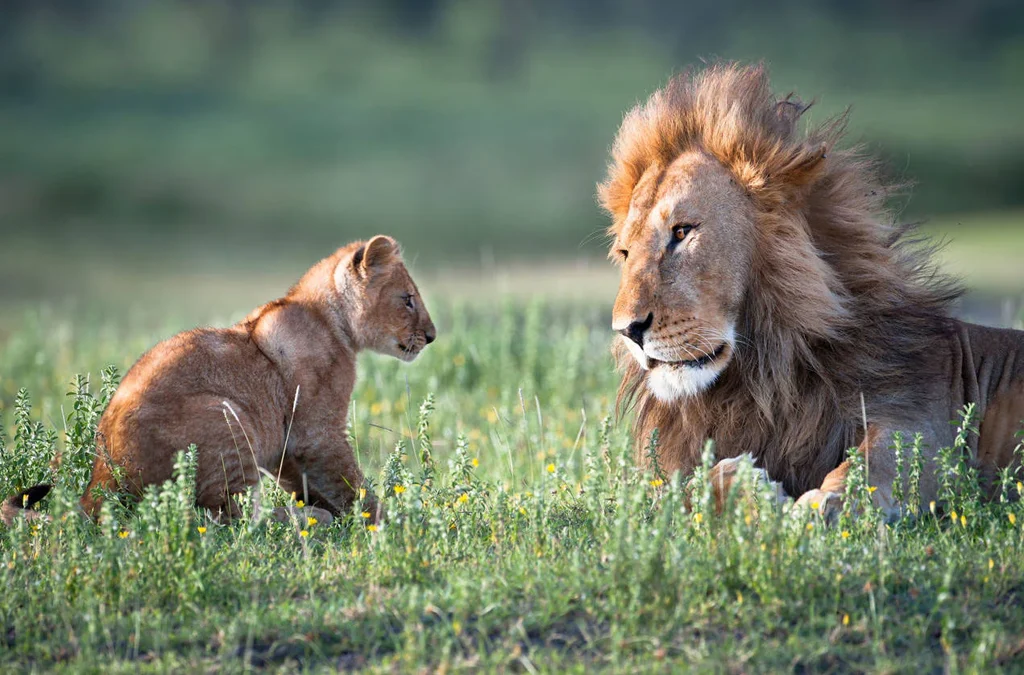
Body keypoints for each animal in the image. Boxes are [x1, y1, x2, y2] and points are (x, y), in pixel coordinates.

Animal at [2, 235, 435, 525]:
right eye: (407, 299)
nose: (431, 337)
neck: (331, 320)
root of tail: (101, 482)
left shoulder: (286, 447)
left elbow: (312, 484)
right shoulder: (317, 433)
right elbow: (350, 483)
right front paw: (395, 521)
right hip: (227, 417)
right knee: (227, 518)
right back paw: (300, 521)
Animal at [599, 63, 1024, 520]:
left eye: (681, 232)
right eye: (625, 252)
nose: (627, 331)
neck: (765, 377)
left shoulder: (920, 423)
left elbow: (873, 465)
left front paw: (825, 505)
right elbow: (687, 490)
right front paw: (747, 485)